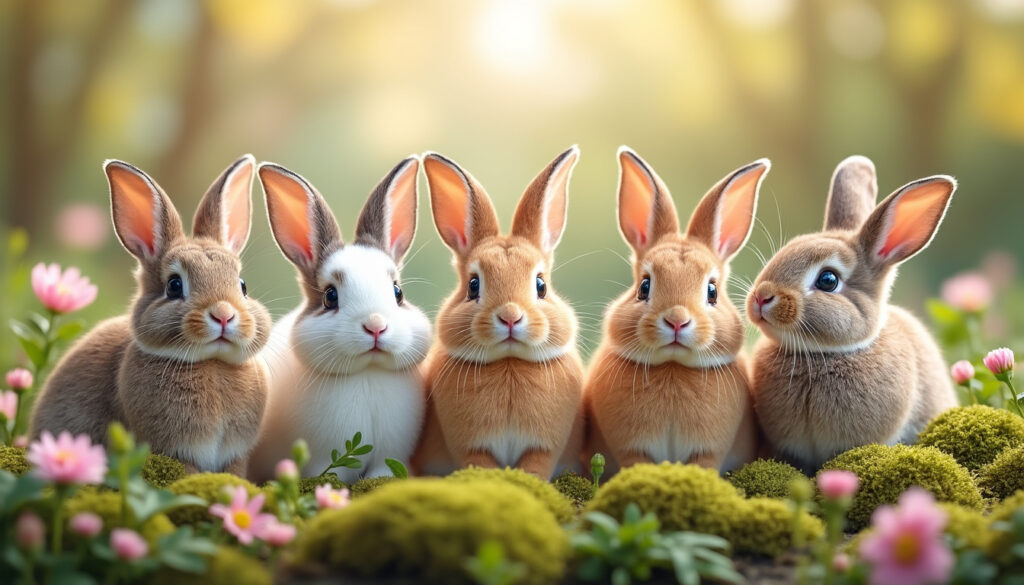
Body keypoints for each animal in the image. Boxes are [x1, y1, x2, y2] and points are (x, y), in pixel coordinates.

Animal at [30, 155, 272, 475]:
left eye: (243, 286)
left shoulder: (235, 456)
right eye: (174, 285)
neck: (211, 363)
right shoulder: (176, 453)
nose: (223, 315)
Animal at [247, 157, 432, 484]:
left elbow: (383, 472)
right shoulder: (322, 458)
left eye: (398, 292)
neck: (367, 373)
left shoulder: (391, 453)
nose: (376, 325)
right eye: (330, 297)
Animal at [412, 147, 585, 480]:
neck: (509, 363)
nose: (510, 317)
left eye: (541, 285)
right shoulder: (470, 446)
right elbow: (482, 465)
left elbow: (535, 467)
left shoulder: (544, 448)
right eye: (473, 285)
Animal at [584, 147, 768, 474]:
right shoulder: (633, 449)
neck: (673, 366)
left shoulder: (707, 451)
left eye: (712, 291)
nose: (677, 321)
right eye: (644, 287)